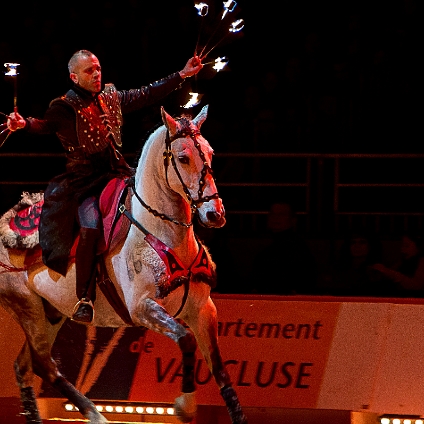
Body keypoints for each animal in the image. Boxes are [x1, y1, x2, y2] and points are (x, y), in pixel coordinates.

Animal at [0, 105, 248, 424]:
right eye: (183, 158)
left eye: (210, 152)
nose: (214, 214)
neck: (162, 233)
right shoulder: (143, 308)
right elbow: (186, 339)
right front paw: (185, 405)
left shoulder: (203, 309)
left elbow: (219, 368)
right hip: (26, 307)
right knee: (44, 365)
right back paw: (94, 414)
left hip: (50, 312)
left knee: (25, 367)